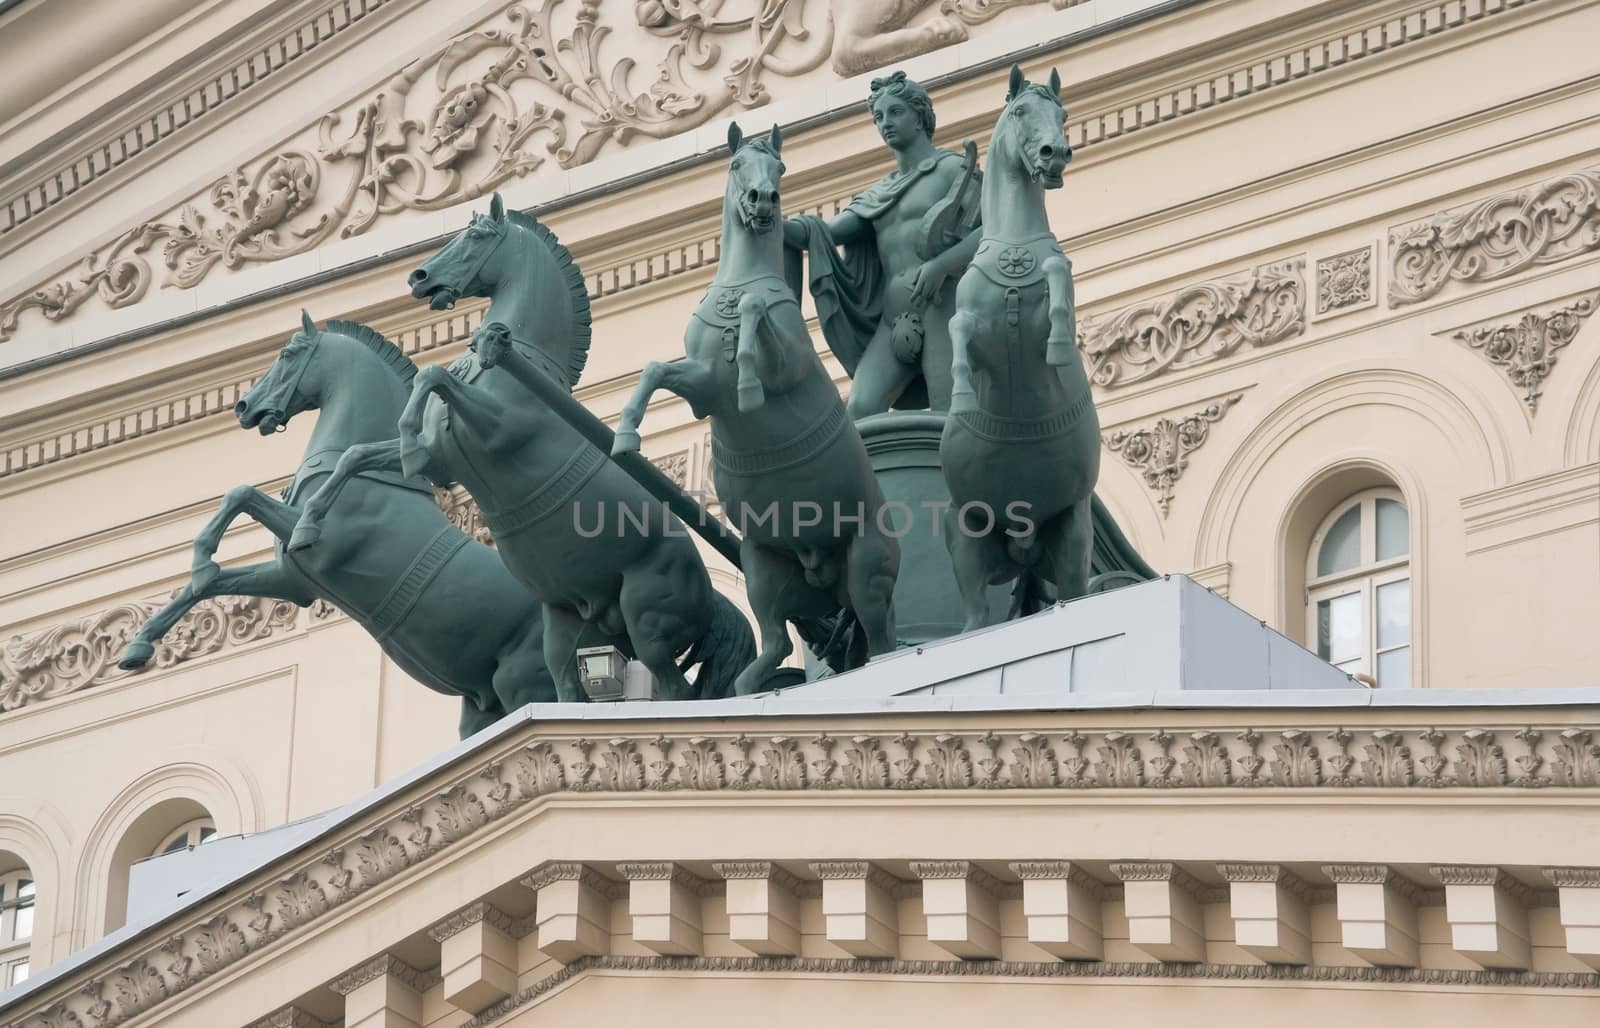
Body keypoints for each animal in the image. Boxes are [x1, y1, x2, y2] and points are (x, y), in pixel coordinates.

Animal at [120, 313, 556, 736]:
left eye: (289, 353)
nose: (244, 407)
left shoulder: (324, 551)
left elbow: (243, 495)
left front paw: (218, 553)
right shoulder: (293, 581)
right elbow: (216, 577)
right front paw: (140, 643)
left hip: (522, 681)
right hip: (483, 705)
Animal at [291, 196, 752, 701]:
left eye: (476, 236)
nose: (418, 277)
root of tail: (711, 596)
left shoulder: (498, 430)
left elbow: (434, 375)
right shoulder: (444, 456)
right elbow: (358, 454)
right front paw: (307, 524)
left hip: (647, 620)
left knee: (673, 688)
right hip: (565, 621)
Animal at [611, 124, 902, 691]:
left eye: (780, 169)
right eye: (735, 164)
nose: (762, 200)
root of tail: (823, 575)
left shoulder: (786, 368)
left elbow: (751, 314)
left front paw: (747, 380)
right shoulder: (702, 388)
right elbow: (656, 369)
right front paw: (625, 435)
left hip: (867, 566)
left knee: (878, 640)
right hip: (764, 571)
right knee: (777, 644)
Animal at [934, 68, 1100, 627]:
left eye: (1064, 114)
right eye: (1021, 111)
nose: (1055, 154)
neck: (1014, 245)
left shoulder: (1051, 289)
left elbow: (1056, 280)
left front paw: (1058, 345)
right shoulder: (975, 328)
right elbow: (958, 329)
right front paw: (962, 396)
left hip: (1073, 535)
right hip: (965, 534)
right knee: (974, 618)